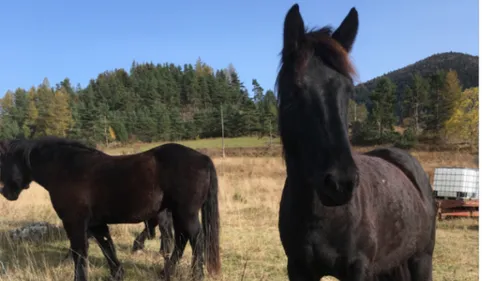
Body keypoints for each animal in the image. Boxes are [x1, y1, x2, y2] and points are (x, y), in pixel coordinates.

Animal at [0, 137, 221, 280]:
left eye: (4, 160)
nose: (5, 192)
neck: (67, 168)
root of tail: (203, 158)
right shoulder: (96, 223)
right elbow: (107, 247)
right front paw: (117, 274)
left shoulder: (74, 222)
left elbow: (79, 252)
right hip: (177, 213)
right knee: (182, 239)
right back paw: (166, 272)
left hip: (185, 213)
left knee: (195, 239)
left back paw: (196, 274)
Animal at [274, 4, 436, 280]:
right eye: (295, 90)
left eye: (348, 91)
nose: (340, 184)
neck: (321, 214)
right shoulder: (297, 268)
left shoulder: (358, 269)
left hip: (421, 260)